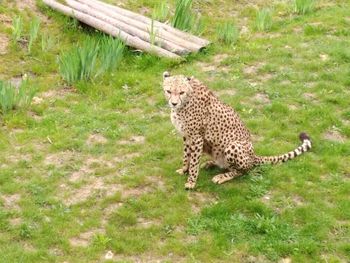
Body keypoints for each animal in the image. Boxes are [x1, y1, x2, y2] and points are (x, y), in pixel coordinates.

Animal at [161, 71, 312, 190]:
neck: (185, 102)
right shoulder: (187, 135)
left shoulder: (196, 137)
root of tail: (253, 156)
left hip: (233, 146)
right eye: (169, 91)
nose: (173, 103)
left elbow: (193, 161)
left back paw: (222, 176)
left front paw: (191, 182)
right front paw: (183, 170)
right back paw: (211, 163)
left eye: (181, 92)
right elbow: (186, 155)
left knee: (243, 171)